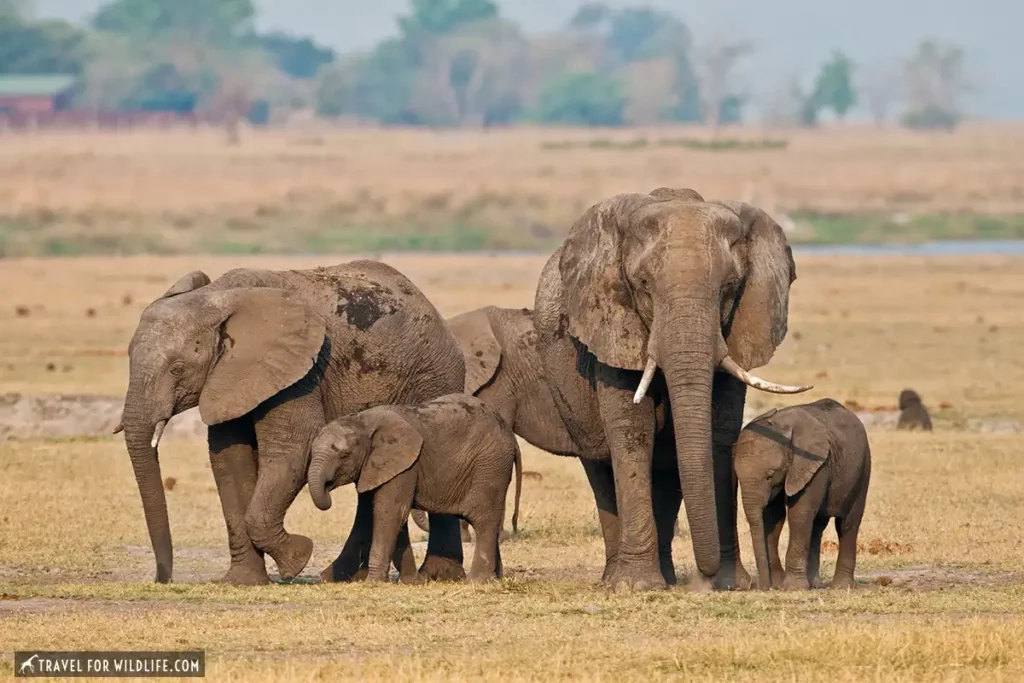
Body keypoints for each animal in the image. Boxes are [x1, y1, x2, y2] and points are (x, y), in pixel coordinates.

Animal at [116, 259, 464, 585]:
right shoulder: (231, 377)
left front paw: (297, 558)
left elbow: (293, 449)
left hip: (434, 377)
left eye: (177, 368)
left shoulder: (299, 373)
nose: (162, 578)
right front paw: (244, 581)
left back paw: (438, 575)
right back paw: (345, 576)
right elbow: (229, 460)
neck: (218, 297)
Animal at [305, 395, 520, 581]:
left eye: (344, 455)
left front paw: (373, 582)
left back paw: (476, 581)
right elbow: (383, 515)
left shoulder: (405, 465)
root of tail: (511, 436)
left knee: (484, 521)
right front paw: (413, 582)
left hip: (490, 467)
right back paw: (495, 577)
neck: (363, 421)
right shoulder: (375, 467)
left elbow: (390, 513)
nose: (327, 489)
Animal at [536, 188, 815, 593]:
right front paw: (635, 587)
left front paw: (729, 584)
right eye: (643, 286)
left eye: (730, 288)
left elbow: (717, 435)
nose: (705, 575)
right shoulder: (613, 330)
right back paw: (613, 579)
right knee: (601, 471)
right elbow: (631, 434)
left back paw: (665, 577)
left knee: (668, 479)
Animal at [737, 397, 872, 589]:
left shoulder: (815, 464)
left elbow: (799, 513)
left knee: (847, 524)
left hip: (863, 468)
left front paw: (792, 588)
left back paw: (841, 586)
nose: (763, 587)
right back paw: (814, 584)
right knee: (817, 525)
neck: (781, 427)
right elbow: (774, 517)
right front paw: (780, 585)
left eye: (770, 475)